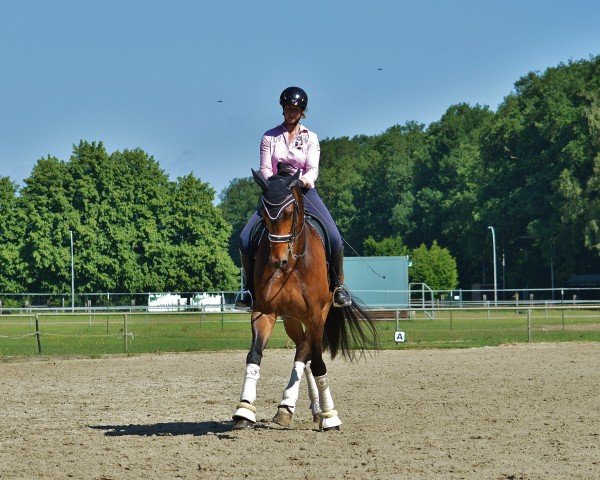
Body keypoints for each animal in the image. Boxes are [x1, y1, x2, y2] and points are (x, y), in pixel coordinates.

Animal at [232, 169, 378, 432]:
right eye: (262, 214)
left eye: (290, 212)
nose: (277, 260)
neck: (293, 262)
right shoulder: (264, 312)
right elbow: (254, 355)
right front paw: (244, 410)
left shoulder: (315, 315)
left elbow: (319, 362)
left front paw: (331, 417)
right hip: (291, 318)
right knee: (303, 349)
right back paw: (289, 408)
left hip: (317, 315)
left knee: (307, 352)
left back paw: (312, 410)